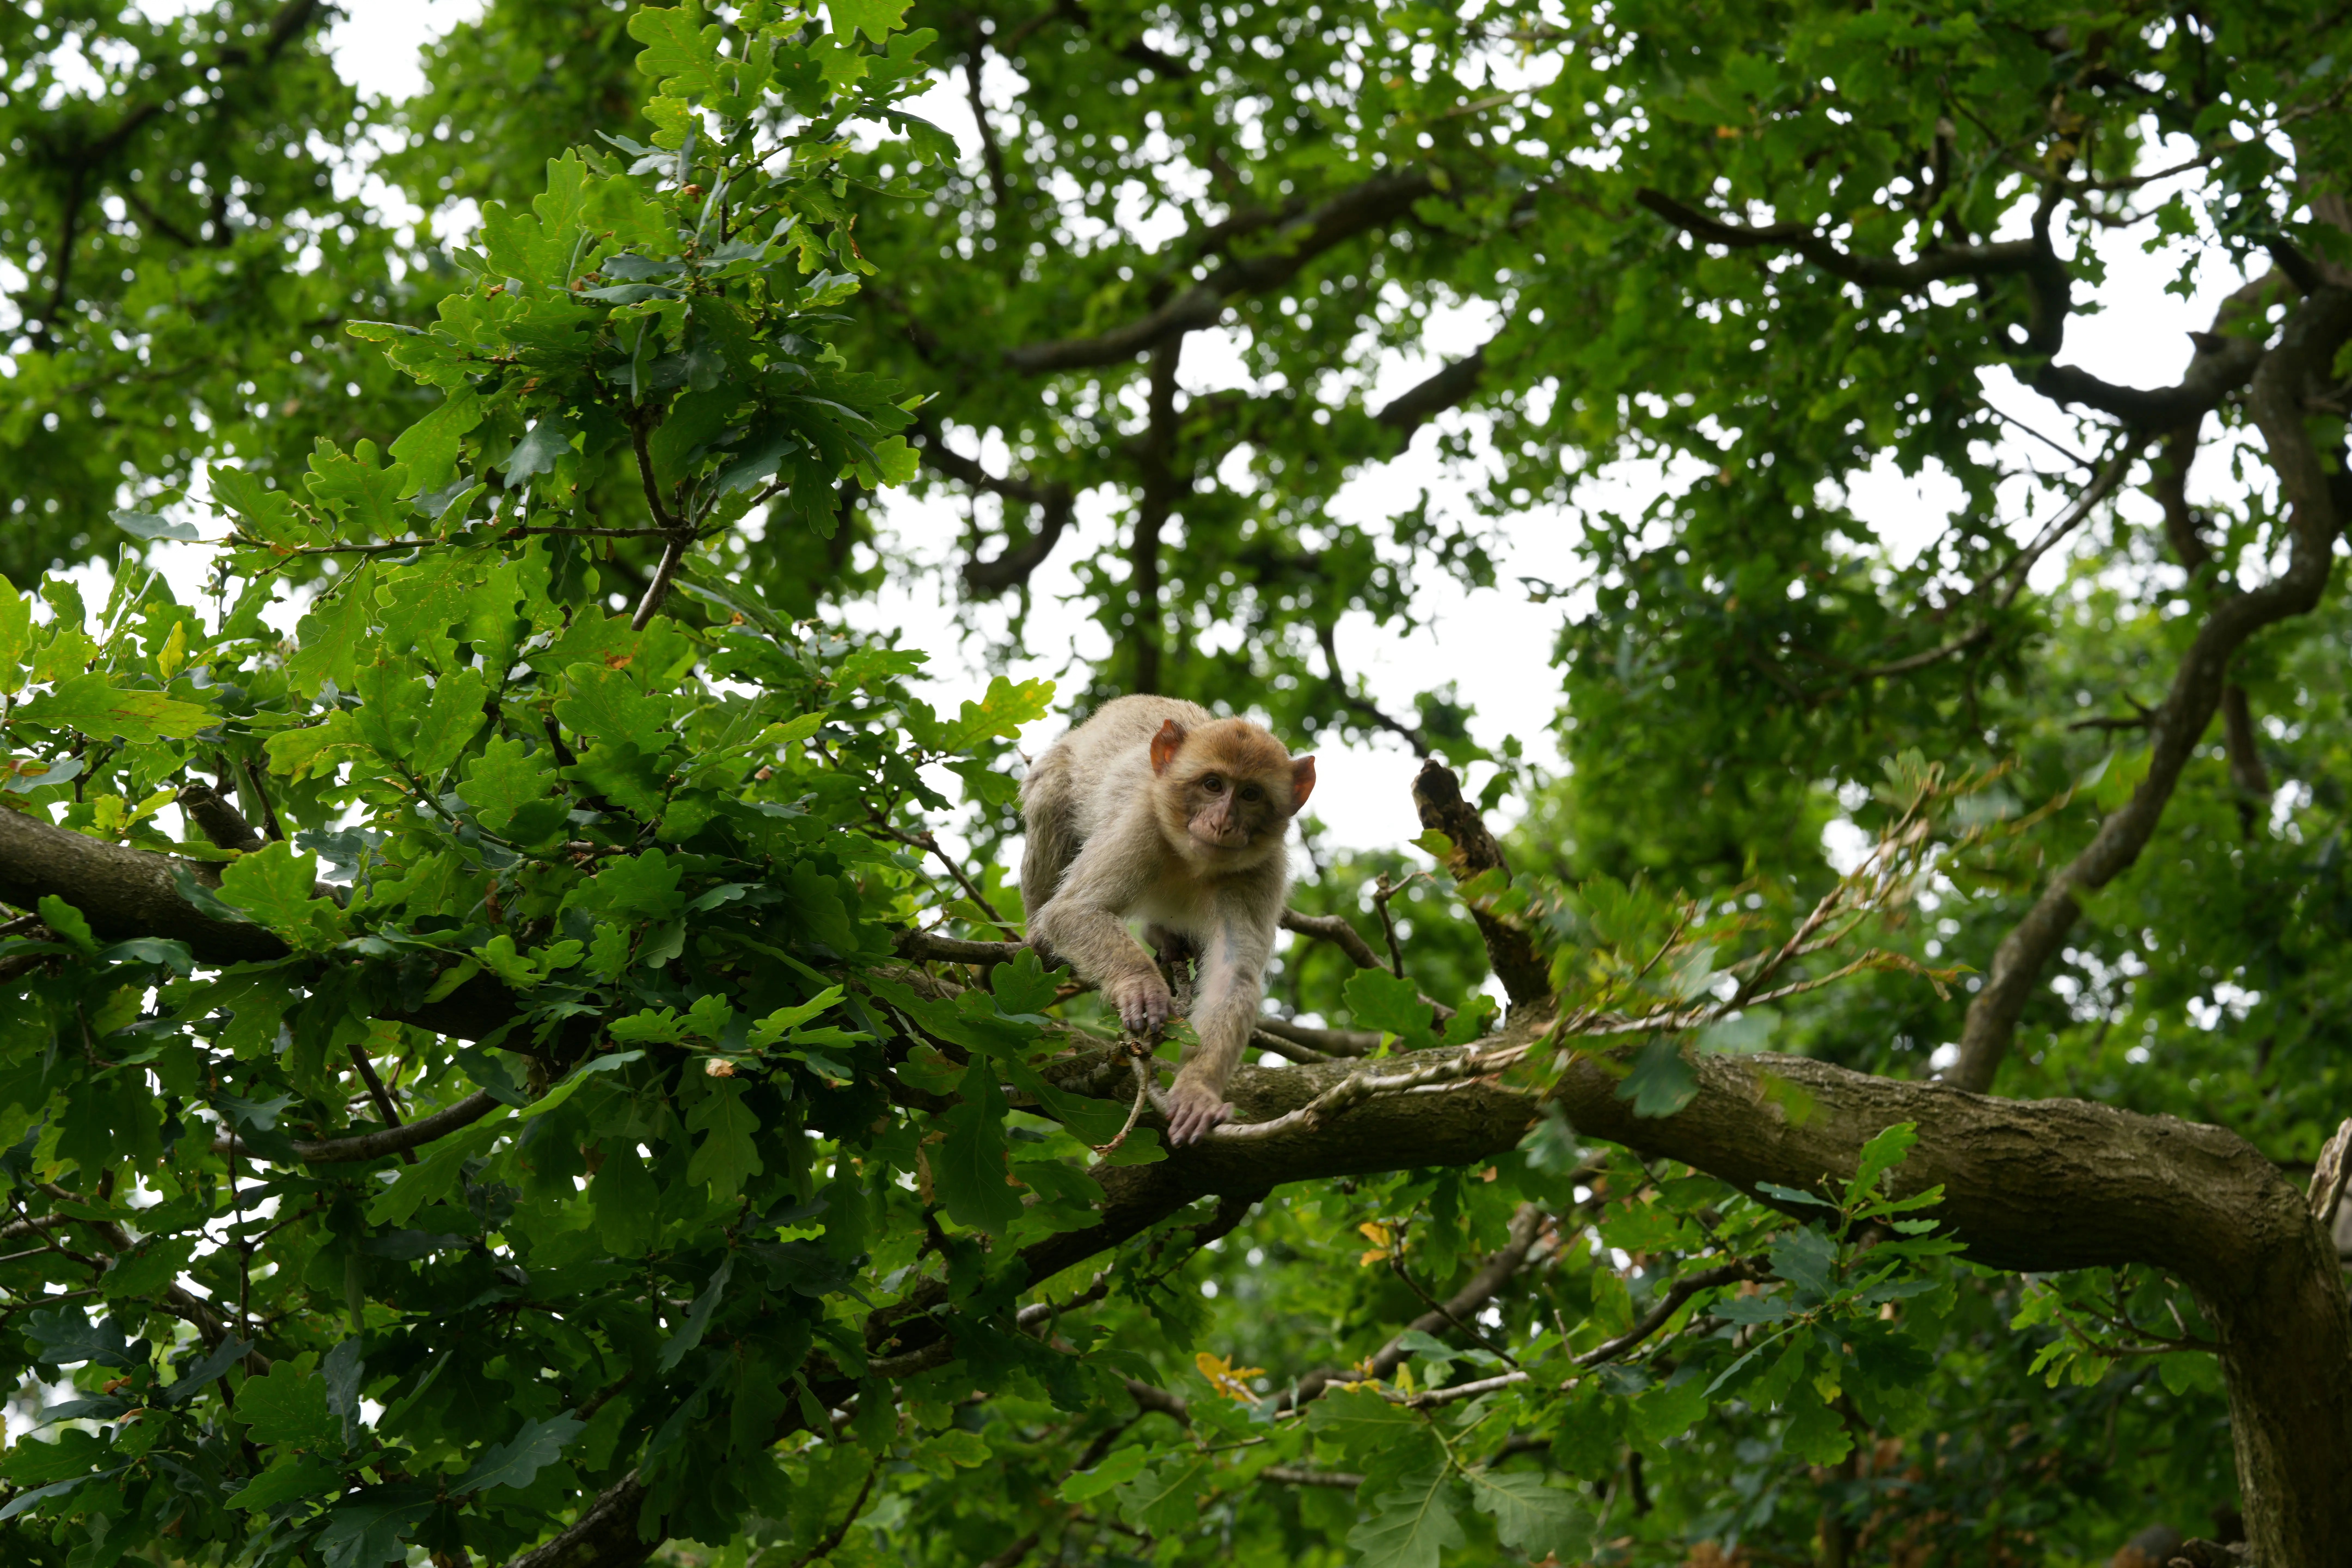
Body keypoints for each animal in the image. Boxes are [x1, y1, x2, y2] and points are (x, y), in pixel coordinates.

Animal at [1020, 695, 1316, 1145]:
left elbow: (1233, 976)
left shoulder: (1259, 872)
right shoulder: (1142, 823)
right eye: (1213, 785)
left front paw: (1197, 1087)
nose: (1223, 823)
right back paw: (1038, 937)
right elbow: (1075, 910)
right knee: (1051, 796)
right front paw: (1141, 986)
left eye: (1250, 794)